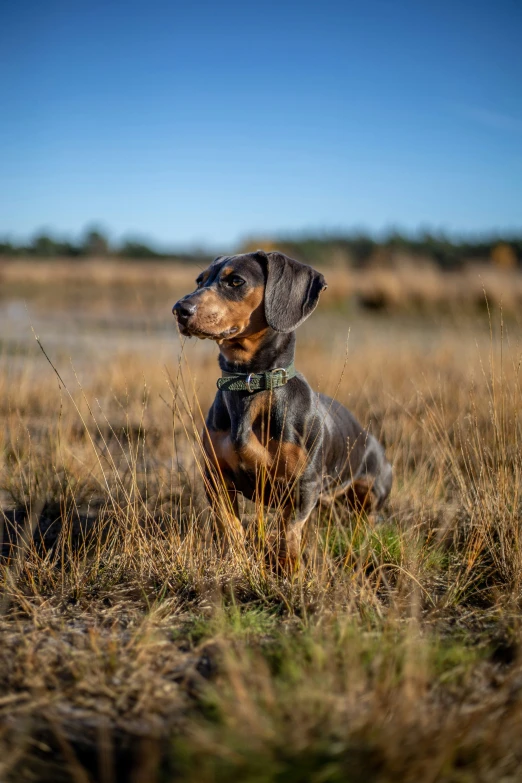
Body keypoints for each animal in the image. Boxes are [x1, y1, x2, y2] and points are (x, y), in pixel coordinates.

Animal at [172, 254, 390, 568]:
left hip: (371, 492)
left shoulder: (303, 487)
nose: (180, 310)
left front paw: (289, 573)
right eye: (199, 280)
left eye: (236, 281)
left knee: (367, 518)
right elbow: (231, 528)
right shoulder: (215, 477)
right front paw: (236, 563)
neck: (250, 383)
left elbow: (288, 535)